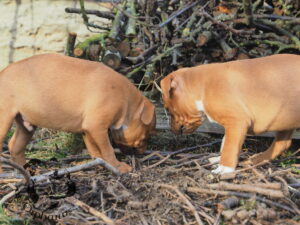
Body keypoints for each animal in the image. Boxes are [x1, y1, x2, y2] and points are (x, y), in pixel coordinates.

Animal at [0, 53, 157, 173]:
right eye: (146, 136)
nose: (143, 151)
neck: (126, 101)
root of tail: (3, 72)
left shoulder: (88, 130)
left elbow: (95, 150)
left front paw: (101, 163)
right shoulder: (97, 127)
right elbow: (108, 149)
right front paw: (117, 166)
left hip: (26, 126)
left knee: (15, 146)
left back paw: (26, 170)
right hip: (5, 119)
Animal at [161, 54, 300, 174]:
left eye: (168, 109)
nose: (170, 128)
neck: (202, 86)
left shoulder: (237, 121)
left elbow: (229, 146)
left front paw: (224, 168)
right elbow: (225, 142)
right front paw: (219, 159)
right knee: (282, 144)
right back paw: (255, 160)